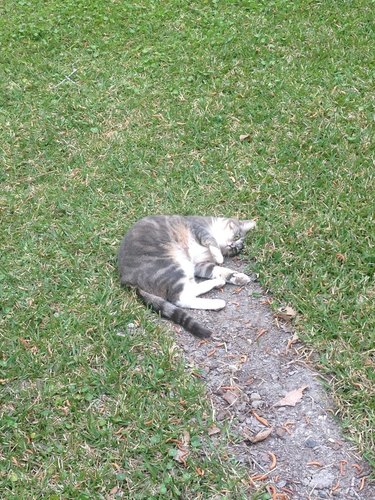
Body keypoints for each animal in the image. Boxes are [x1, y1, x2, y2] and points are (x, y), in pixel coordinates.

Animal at [119, 216, 258, 338]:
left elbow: (218, 270)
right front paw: (219, 256)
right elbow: (211, 240)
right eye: (236, 236)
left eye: (235, 250)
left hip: (180, 266)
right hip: (172, 265)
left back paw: (217, 288)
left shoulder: (199, 264)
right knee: (179, 298)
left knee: (185, 295)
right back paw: (218, 296)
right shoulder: (197, 227)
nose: (232, 245)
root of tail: (126, 279)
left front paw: (238, 277)